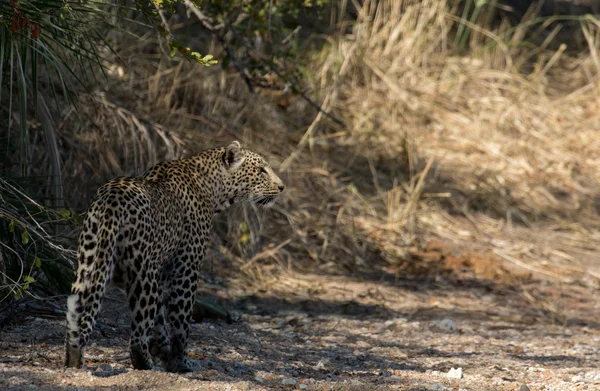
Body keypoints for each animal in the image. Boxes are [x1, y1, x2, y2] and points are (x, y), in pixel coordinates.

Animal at [64, 142, 284, 374]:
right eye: (261, 170)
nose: (282, 187)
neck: (214, 189)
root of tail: (112, 200)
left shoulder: (163, 271)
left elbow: (160, 319)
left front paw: (163, 352)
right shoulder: (186, 269)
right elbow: (180, 323)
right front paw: (181, 363)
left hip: (88, 259)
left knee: (78, 314)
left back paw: (73, 360)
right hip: (142, 274)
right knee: (138, 333)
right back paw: (146, 365)